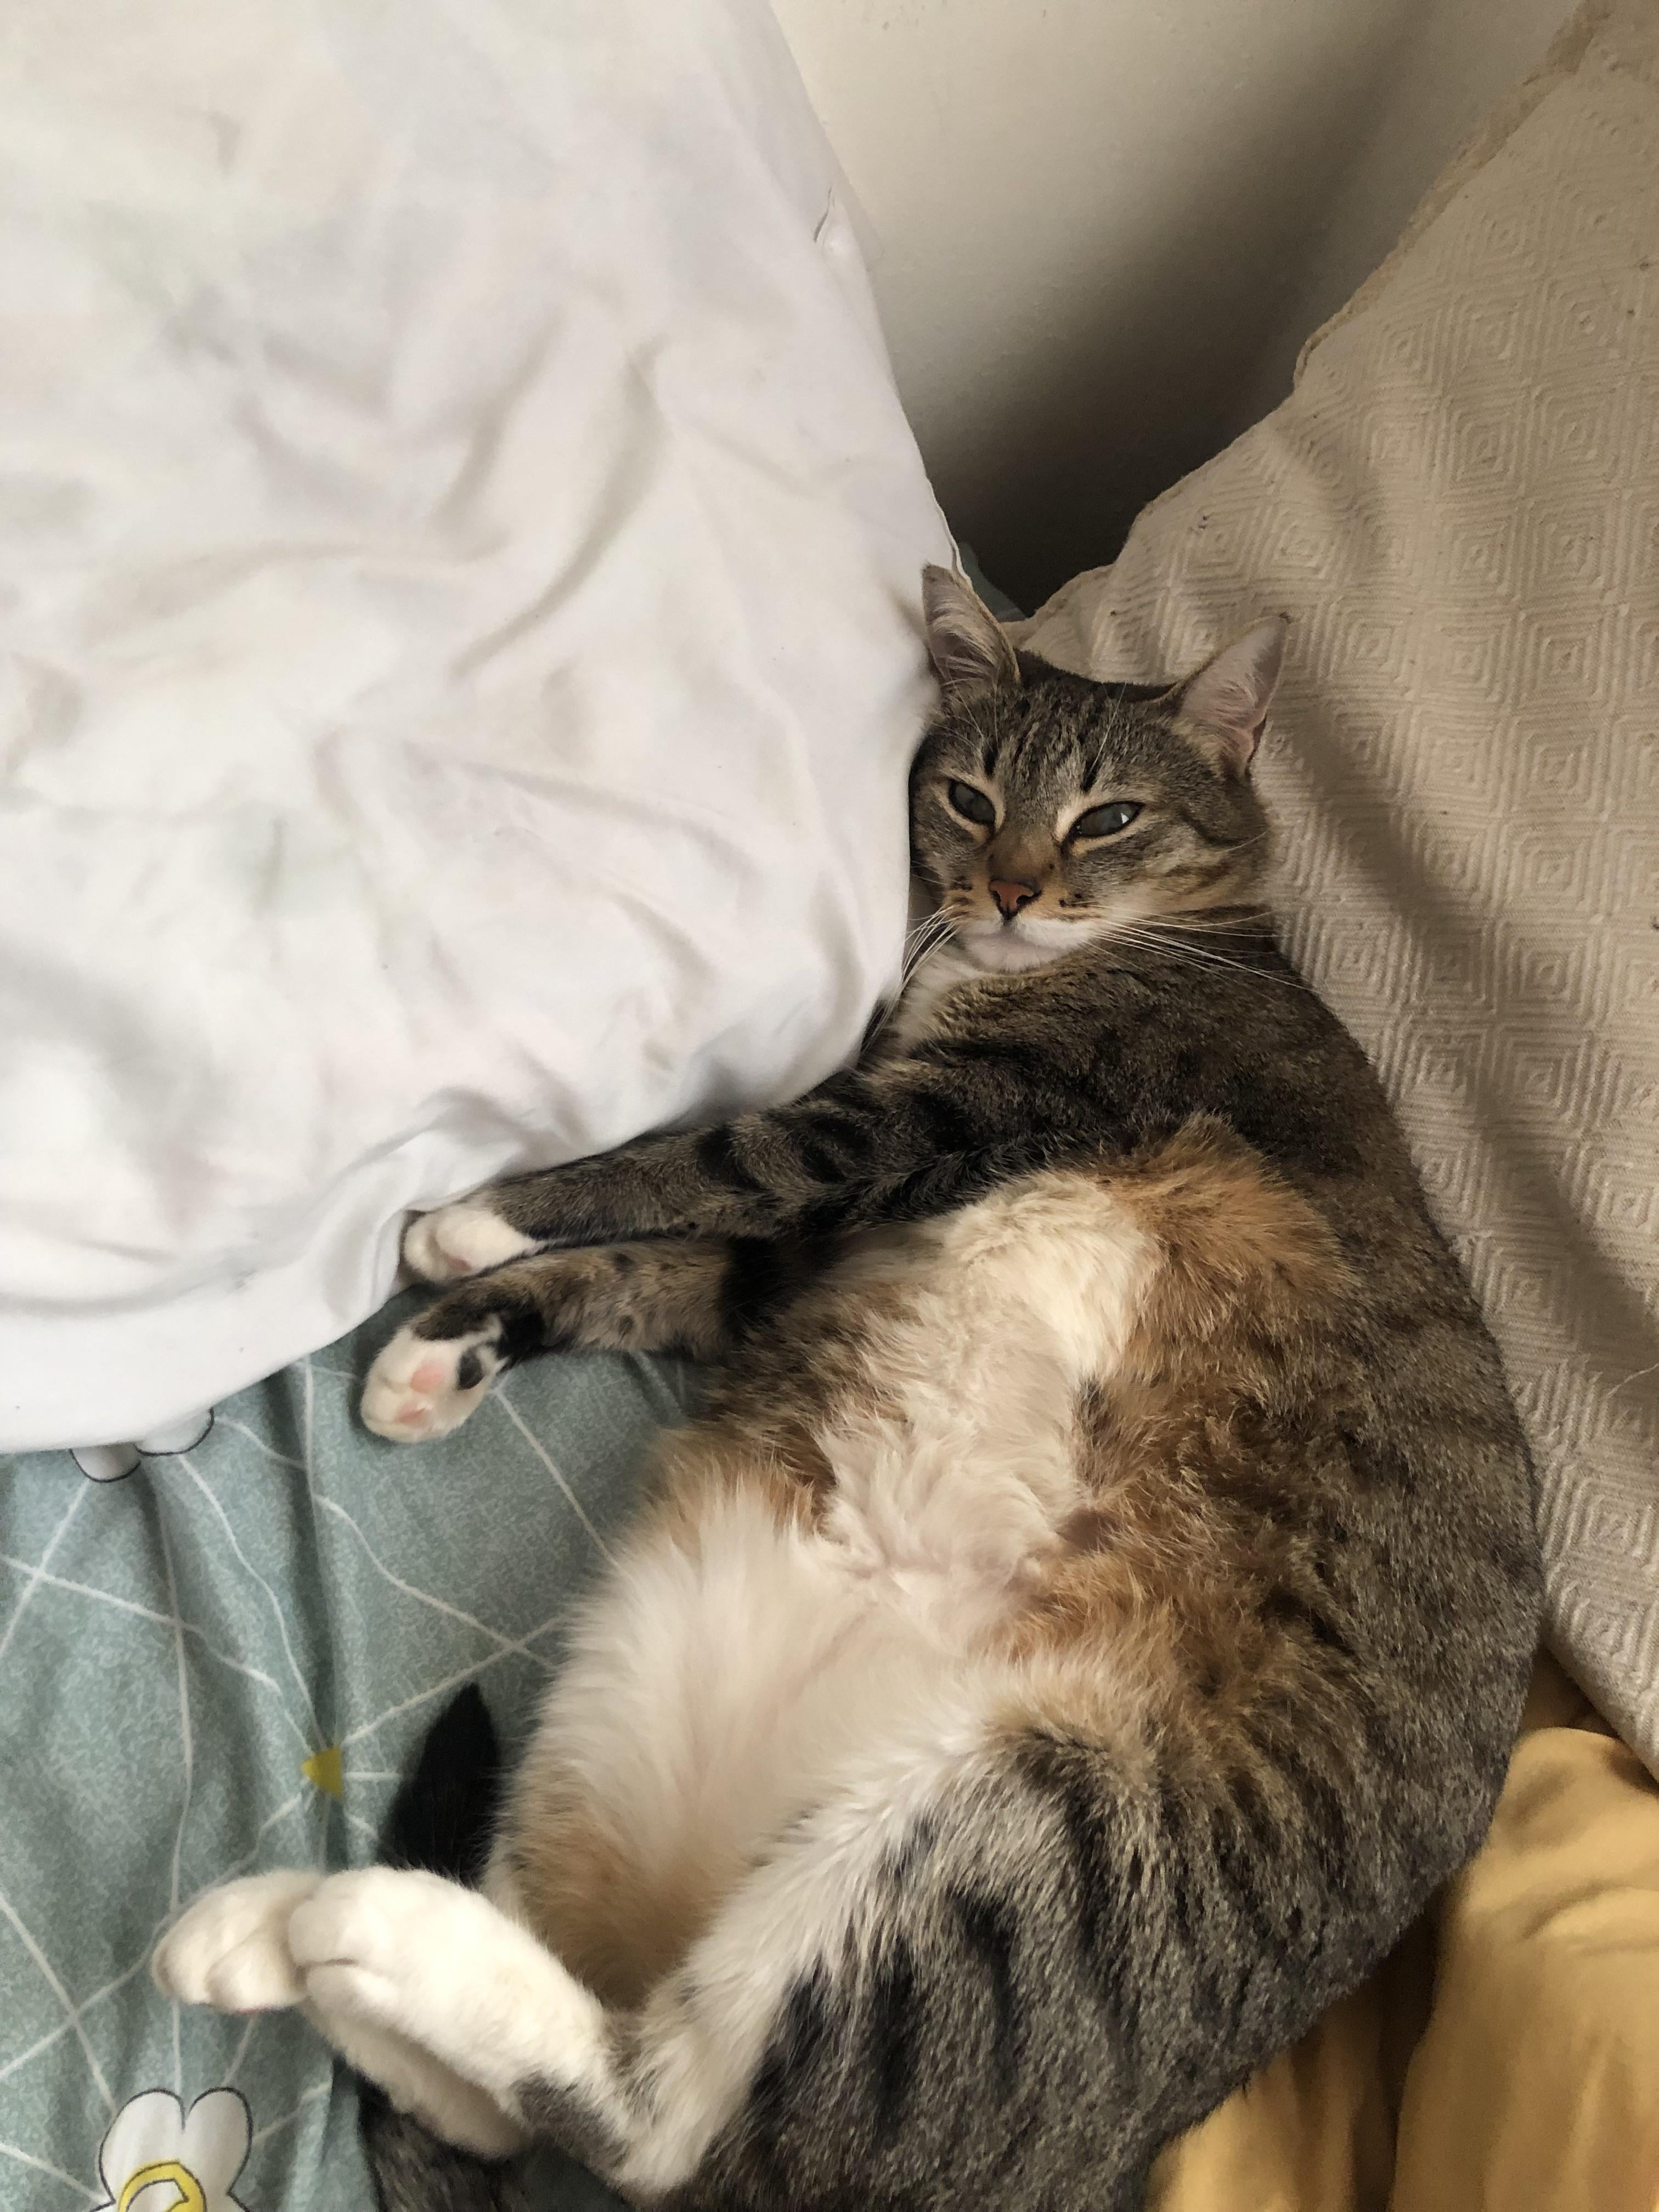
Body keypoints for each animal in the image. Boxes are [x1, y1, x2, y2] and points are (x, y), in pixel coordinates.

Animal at [154, 567, 1542, 2212]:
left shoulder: (924, 1125)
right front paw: (445, 1342)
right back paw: (257, 1933)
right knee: (525, 2089)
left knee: (654, 2111)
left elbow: (702, 1155)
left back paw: (341, 1925)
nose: (1009, 890)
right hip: (630, 1677)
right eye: (969, 797)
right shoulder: (809, 1252)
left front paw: (484, 1214)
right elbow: (646, 1270)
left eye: (1107, 820)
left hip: (1034, 1849)